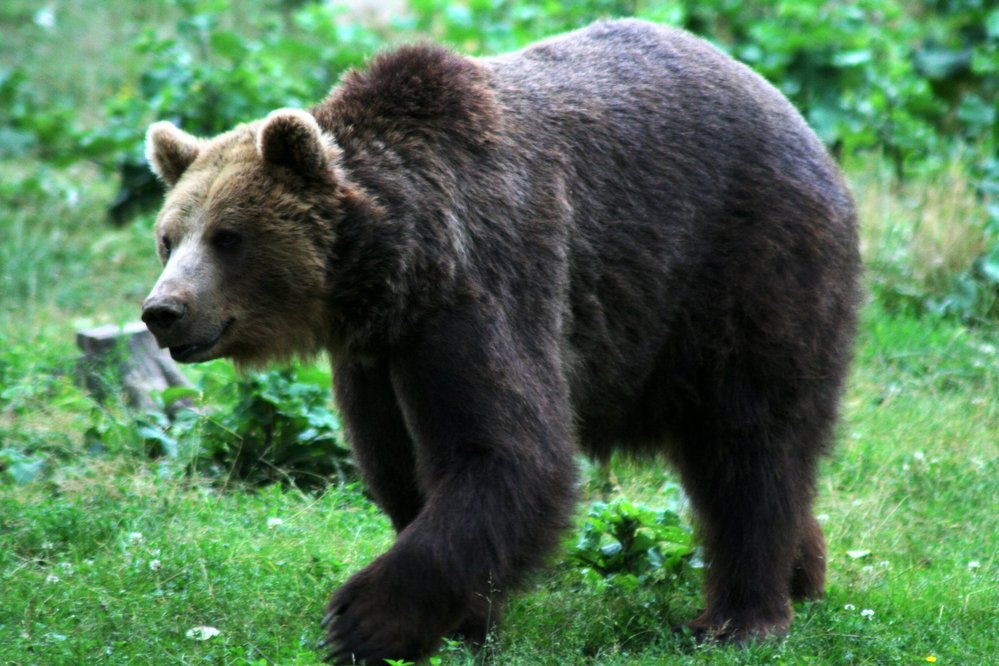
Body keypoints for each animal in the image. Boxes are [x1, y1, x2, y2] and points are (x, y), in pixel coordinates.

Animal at [139, 18, 860, 660]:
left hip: (746, 269)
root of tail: (798, 119)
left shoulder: (481, 285)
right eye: (169, 237)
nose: (162, 311)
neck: (396, 268)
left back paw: (741, 617)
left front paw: (360, 621)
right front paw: (461, 621)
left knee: (750, 442)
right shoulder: (375, 355)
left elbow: (509, 452)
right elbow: (398, 465)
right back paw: (804, 573)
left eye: (228, 236)